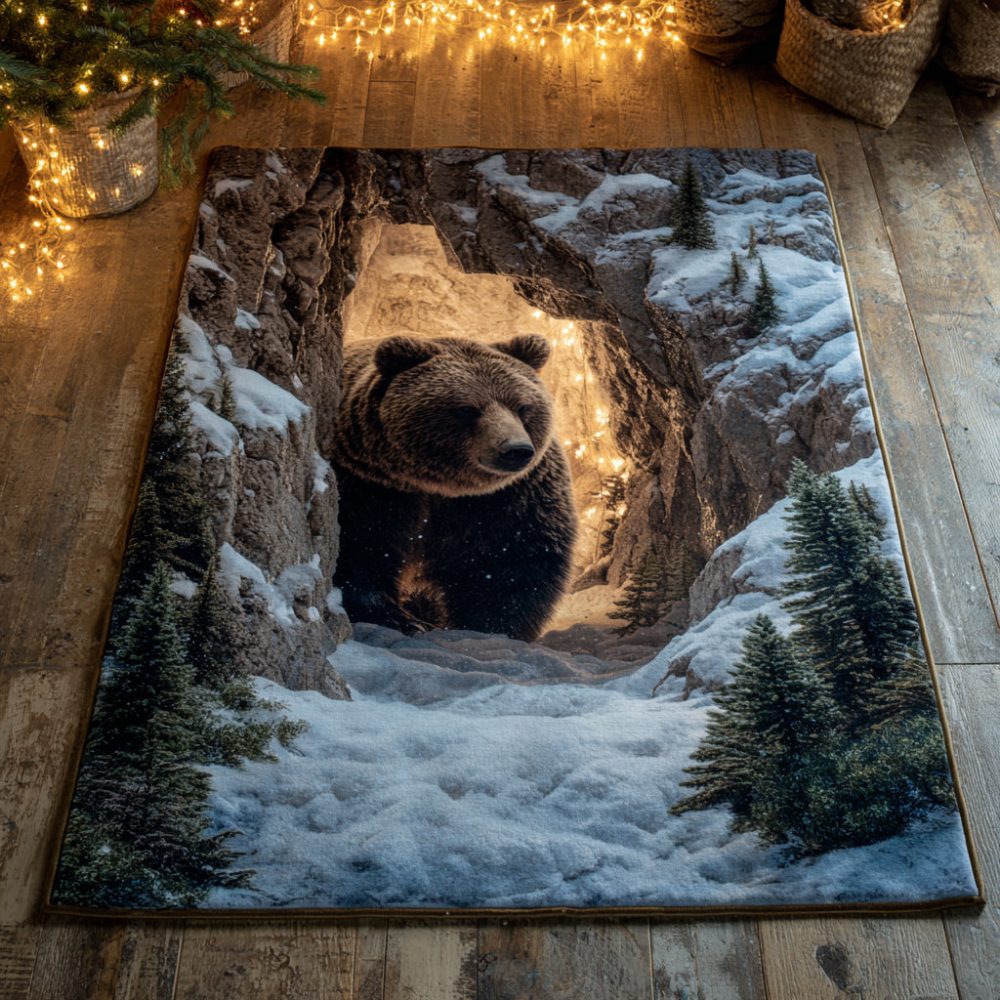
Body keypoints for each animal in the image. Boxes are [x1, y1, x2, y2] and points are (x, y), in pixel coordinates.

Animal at [329, 333, 577, 642]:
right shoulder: (369, 482)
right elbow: (359, 546)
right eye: (468, 409)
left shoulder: (509, 498)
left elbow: (508, 564)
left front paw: (490, 626)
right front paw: (402, 620)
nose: (515, 450)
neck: (441, 487)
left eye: (522, 406)